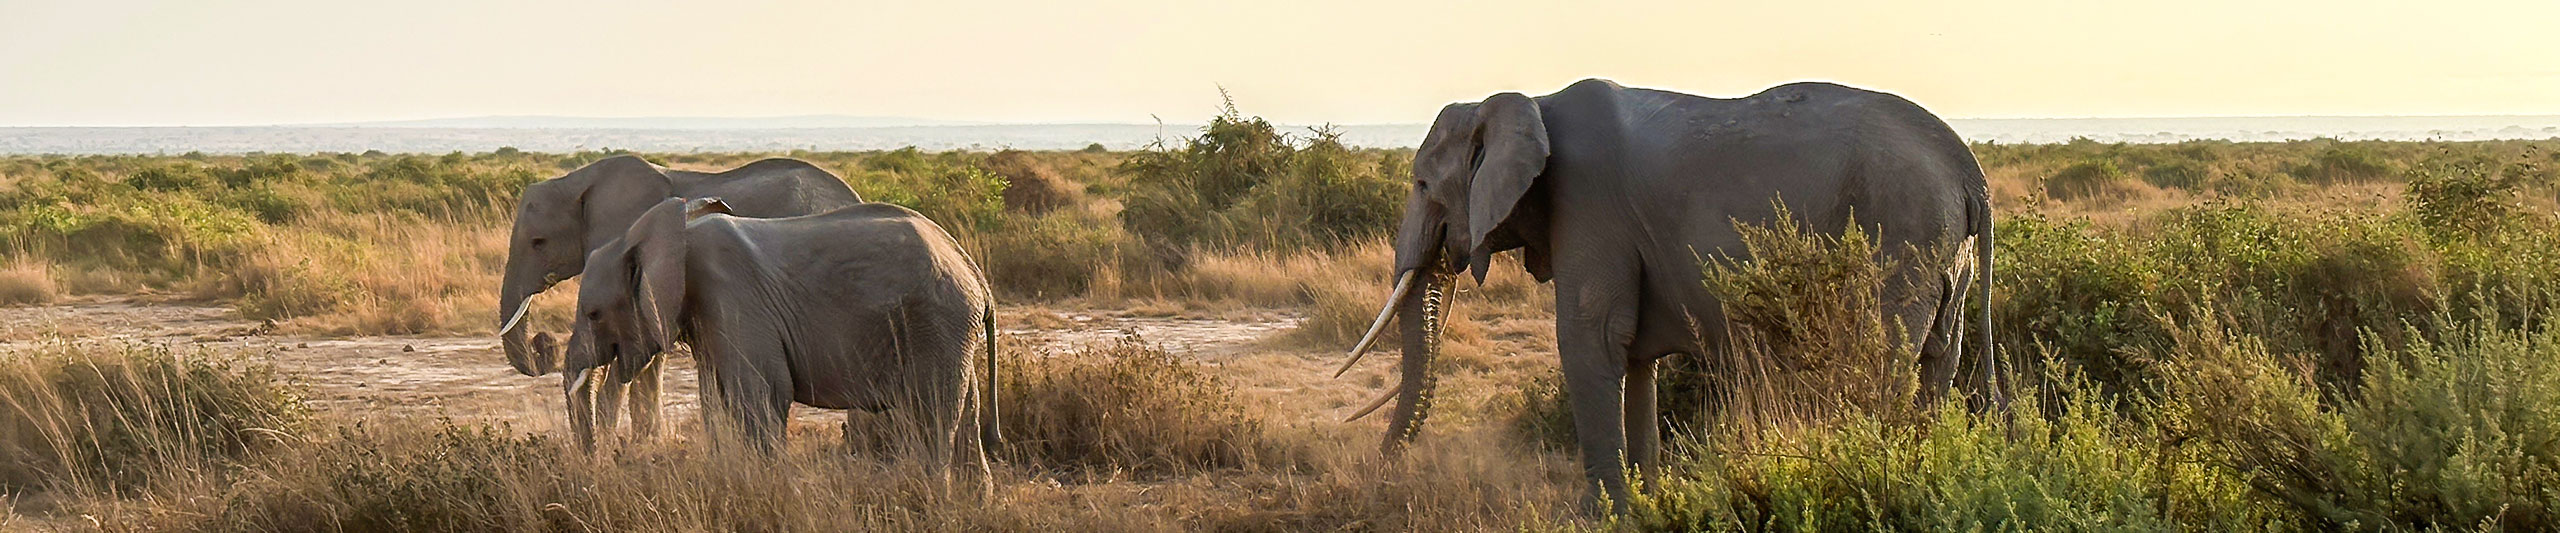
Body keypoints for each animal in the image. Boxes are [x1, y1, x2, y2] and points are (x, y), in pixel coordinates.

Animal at [568, 197, 998, 486]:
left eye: (594, 314)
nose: (601, 465)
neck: (668, 235)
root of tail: (972, 269)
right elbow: (715, 401)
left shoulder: (734, 299)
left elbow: (761, 395)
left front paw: (767, 488)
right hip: (951, 330)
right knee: (968, 406)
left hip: (937, 320)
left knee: (933, 409)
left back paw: (931, 495)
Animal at [1341, 79, 1996, 507]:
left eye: (1422, 184)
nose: (1380, 475)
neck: (1528, 102)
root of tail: (1970, 171)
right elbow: (1631, 356)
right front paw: (1647, 502)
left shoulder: (1588, 204)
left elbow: (1589, 340)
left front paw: (1602, 514)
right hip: (1944, 249)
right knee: (1939, 357)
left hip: (1903, 232)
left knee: (1883, 356)